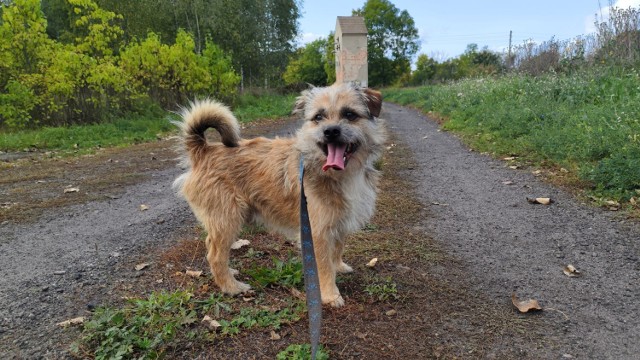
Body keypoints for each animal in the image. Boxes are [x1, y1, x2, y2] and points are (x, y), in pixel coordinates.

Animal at [172, 83, 388, 308]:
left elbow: (337, 249)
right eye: (318, 117)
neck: (336, 172)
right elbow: (324, 266)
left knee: (213, 249)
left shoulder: (338, 223)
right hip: (227, 219)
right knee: (215, 255)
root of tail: (203, 150)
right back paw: (231, 287)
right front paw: (331, 295)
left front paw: (339, 266)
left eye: (350, 114)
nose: (330, 131)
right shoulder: (317, 233)